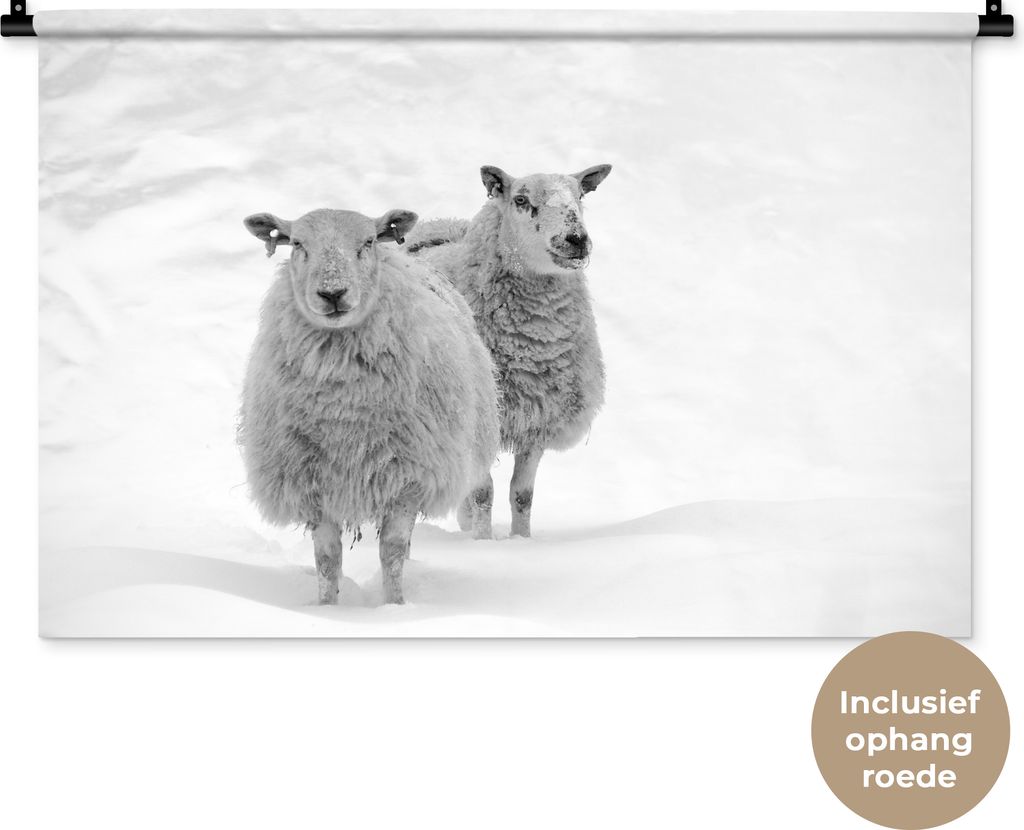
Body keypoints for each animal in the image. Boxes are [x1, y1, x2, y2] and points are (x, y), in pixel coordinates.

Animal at [238, 207, 500, 604]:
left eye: (369, 241)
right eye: (297, 243)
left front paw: (395, 606)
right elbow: (327, 558)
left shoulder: (408, 477)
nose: (332, 293)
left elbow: (391, 551)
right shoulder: (312, 481)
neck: (343, 409)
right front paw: (327, 607)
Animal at [406, 165, 612, 538]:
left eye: (580, 195)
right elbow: (483, 494)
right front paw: (483, 542)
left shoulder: (537, 422)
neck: (532, 345)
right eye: (521, 200)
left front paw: (520, 540)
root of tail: (435, 228)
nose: (576, 239)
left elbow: (522, 495)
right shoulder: (481, 422)